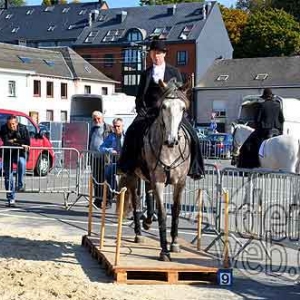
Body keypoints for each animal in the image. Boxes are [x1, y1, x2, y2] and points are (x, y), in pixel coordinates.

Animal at [119, 79, 191, 260]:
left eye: (183, 108)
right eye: (163, 107)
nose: (171, 140)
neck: (170, 150)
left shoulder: (180, 182)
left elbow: (176, 211)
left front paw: (174, 243)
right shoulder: (157, 180)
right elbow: (163, 214)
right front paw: (164, 251)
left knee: (148, 198)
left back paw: (147, 221)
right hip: (134, 176)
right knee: (136, 202)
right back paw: (139, 232)